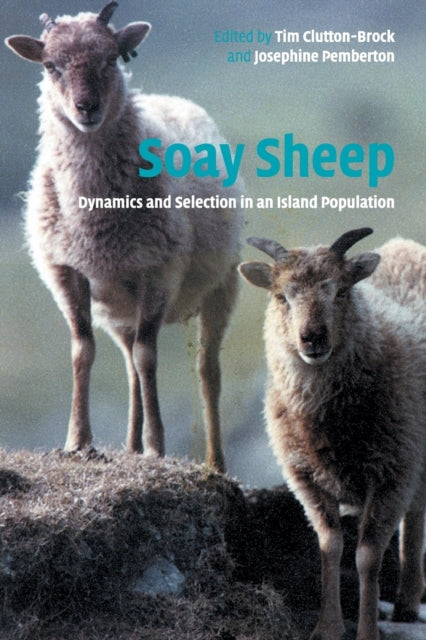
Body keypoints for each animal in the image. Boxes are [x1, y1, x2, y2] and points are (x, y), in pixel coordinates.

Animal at [5, 1, 244, 473]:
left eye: (111, 59)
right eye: (50, 65)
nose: (87, 107)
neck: (96, 221)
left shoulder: (160, 269)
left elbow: (149, 356)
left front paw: (156, 446)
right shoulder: (66, 271)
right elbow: (83, 351)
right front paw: (78, 441)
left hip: (222, 284)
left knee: (206, 371)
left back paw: (214, 463)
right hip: (117, 305)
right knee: (131, 366)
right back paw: (130, 445)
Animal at [239, 227, 425, 640]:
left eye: (340, 291)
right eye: (281, 296)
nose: (313, 338)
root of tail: (404, 245)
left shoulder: (392, 474)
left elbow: (367, 557)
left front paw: (367, 630)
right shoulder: (305, 477)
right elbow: (330, 546)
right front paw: (328, 626)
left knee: (416, 515)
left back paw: (408, 598)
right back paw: (405, 604)